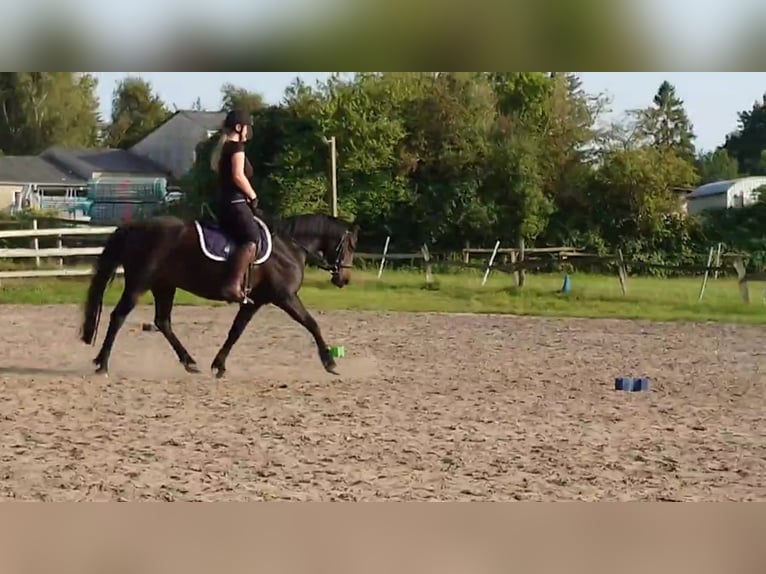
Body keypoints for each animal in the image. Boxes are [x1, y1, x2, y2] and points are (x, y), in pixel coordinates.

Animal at [78, 212, 360, 378]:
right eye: (350, 245)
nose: (344, 279)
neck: (287, 247)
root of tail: (134, 227)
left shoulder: (254, 301)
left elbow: (235, 331)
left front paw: (219, 365)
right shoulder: (285, 297)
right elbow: (312, 324)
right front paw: (329, 362)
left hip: (164, 285)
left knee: (163, 322)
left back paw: (189, 361)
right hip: (139, 283)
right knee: (119, 316)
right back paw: (102, 363)